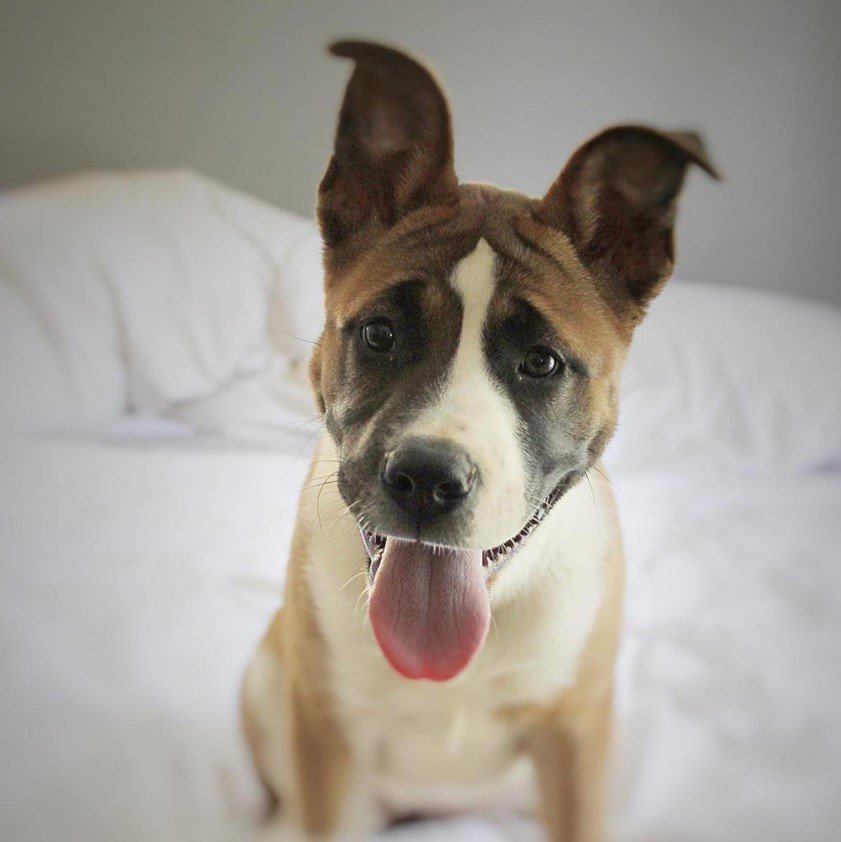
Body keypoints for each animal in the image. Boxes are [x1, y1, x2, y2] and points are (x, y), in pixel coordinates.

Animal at [241, 41, 716, 840]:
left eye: (542, 362)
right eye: (380, 334)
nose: (427, 480)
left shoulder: (576, 737)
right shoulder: (327, 732)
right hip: (269, 682)